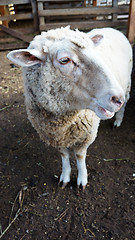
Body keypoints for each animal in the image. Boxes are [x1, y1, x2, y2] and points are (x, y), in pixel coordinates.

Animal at [6, 26, 132, 189]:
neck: (64, 123)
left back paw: (118, 120)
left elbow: (79, 155)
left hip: (127, 83)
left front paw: (82, 179)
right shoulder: (55, 136)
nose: (117, 98)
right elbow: (64, 155)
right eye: (65, 60)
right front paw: (64, 177)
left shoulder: (86, 134)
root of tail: (112, 28)